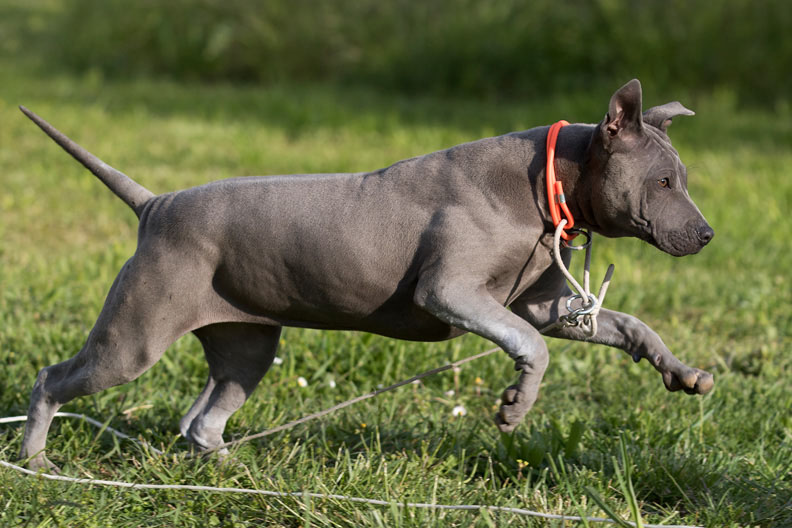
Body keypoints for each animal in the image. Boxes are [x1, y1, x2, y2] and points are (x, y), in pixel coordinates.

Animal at [18, 79, 716, 470]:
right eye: (663, 181)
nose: (707, 235)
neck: (548, 181)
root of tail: (156, 204)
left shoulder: (539, 306)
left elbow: (626, 326)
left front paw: (682, 372)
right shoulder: (449, 292)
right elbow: (533, 346)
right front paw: (516, 407)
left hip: (246, 342)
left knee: (204, 419)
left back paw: (235, 472)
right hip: (134, 336)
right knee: (53, 379)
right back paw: (37, 462)